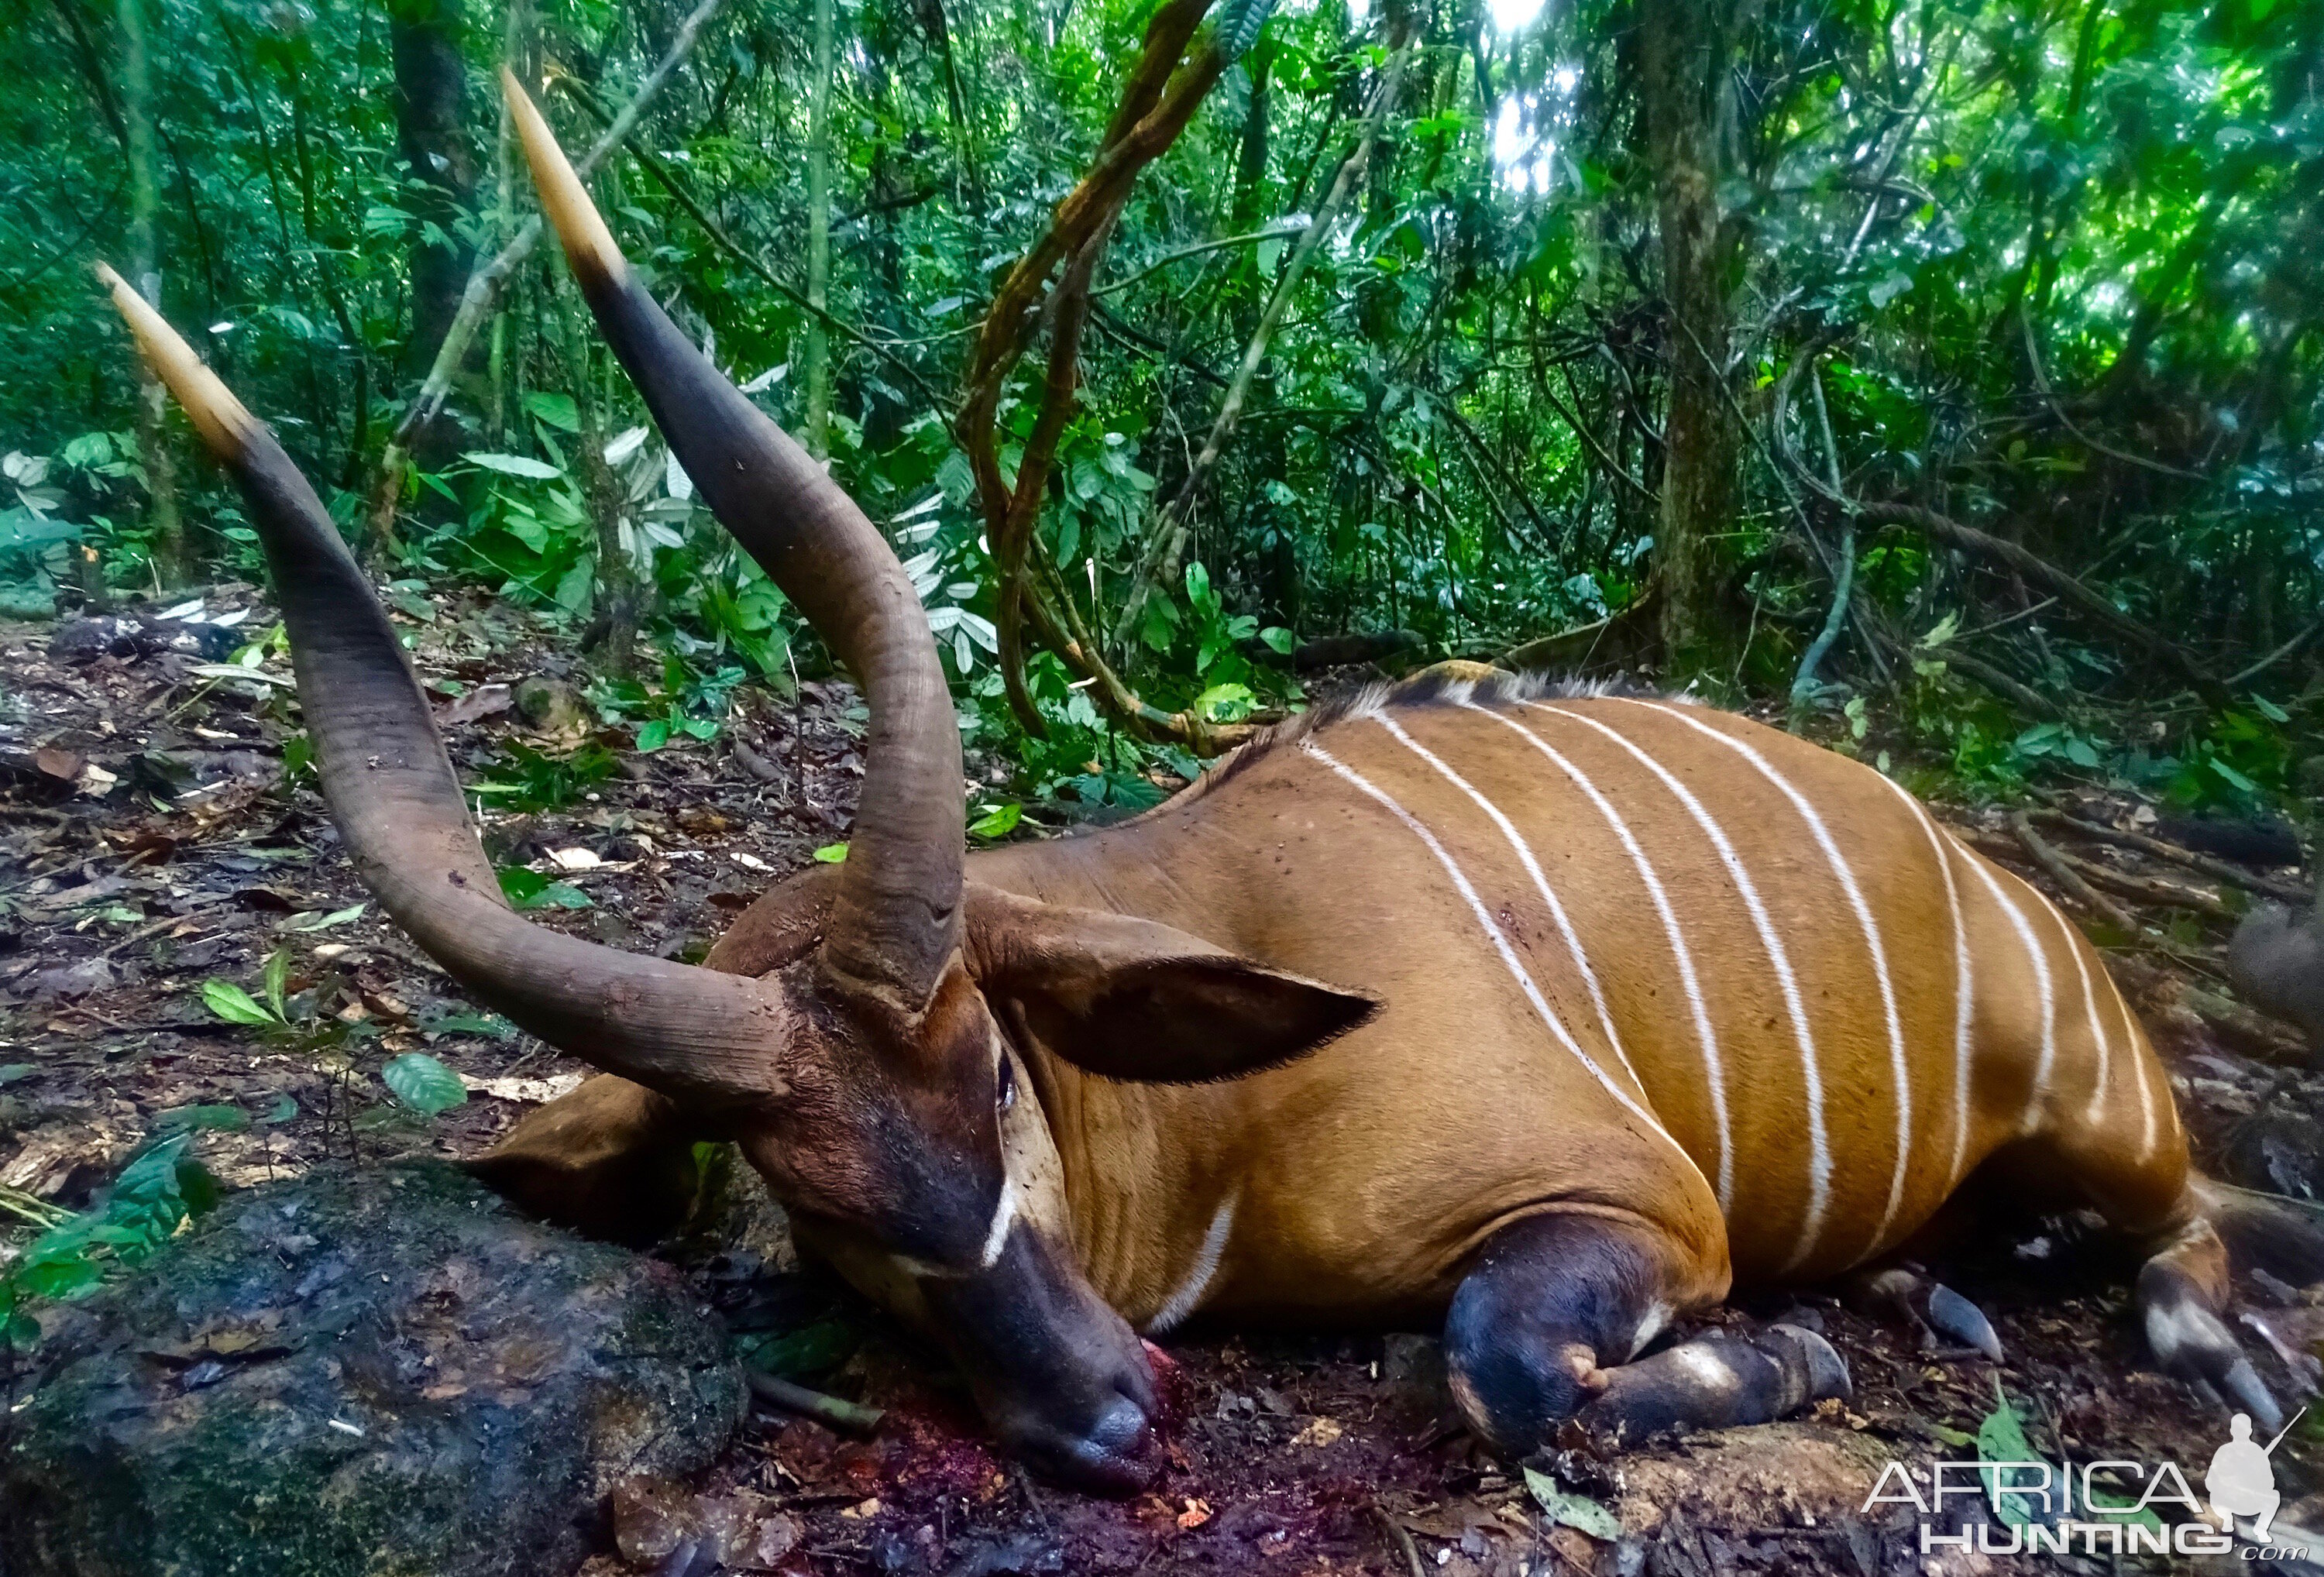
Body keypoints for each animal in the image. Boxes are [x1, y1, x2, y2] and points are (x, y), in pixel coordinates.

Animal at [105, 74, 2324, 1496]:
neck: (1202, 1125)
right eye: (802, 1193)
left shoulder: (1634, 1197)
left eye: (995, 1075)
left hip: (2089, 1096)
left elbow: (1501, 1366)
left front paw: (1795, 1344)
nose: (1114, 1411)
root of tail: (2003, 888)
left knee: (2192, 1218)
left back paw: (2192, 1330)